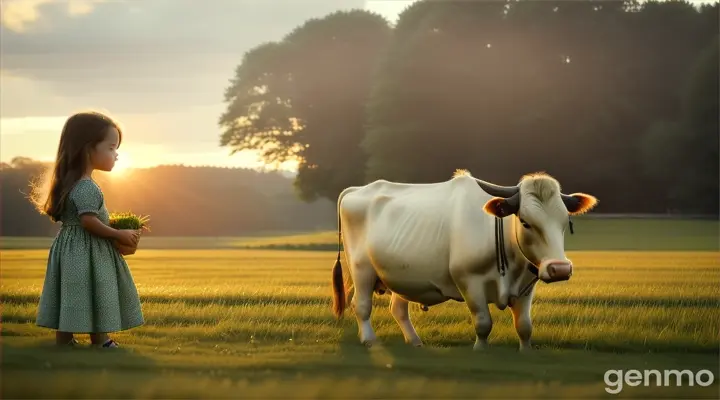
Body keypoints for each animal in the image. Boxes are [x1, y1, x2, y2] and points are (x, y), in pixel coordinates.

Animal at [330, 169, 596, 350]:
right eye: (525, 222)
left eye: (565, 222)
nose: (559, 269)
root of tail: (357, 190)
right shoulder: (469, 280)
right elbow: (483, 321)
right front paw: (480, 349)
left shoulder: (526, 285)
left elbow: (524, 325)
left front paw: (526, 351)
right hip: (362, 269)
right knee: (361, 305)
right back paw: (369, 339)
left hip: (400, 276)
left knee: (398, 309)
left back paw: (415, 341)